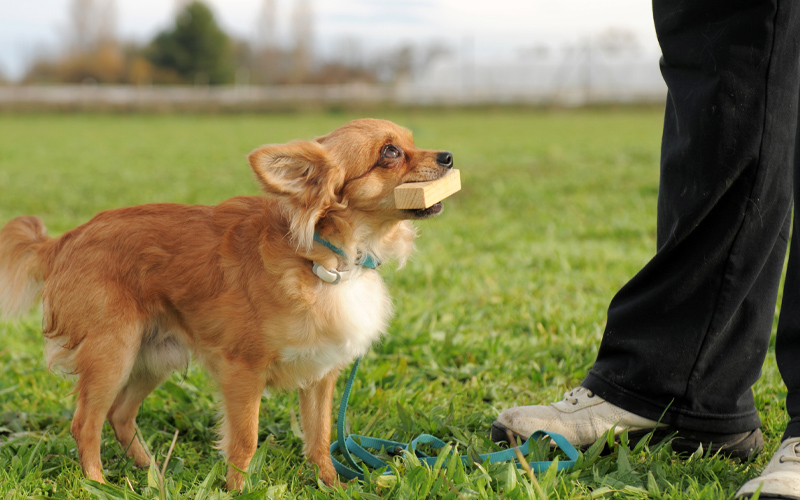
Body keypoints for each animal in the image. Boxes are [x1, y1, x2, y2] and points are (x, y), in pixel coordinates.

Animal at [0, 120, 450, 488]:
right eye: (390, 152)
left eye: (412, 142)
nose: (448, 156)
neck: (330, 258)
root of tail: (64, 241)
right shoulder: (243, 372)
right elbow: (245, 441)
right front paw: (239, 489)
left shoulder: (321, 375)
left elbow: (320, 438)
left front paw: (331, 485)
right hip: (113, 354)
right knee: (86, 424)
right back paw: (99, 482)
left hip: (154, 355)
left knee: (120, 415)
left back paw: (152, 472)